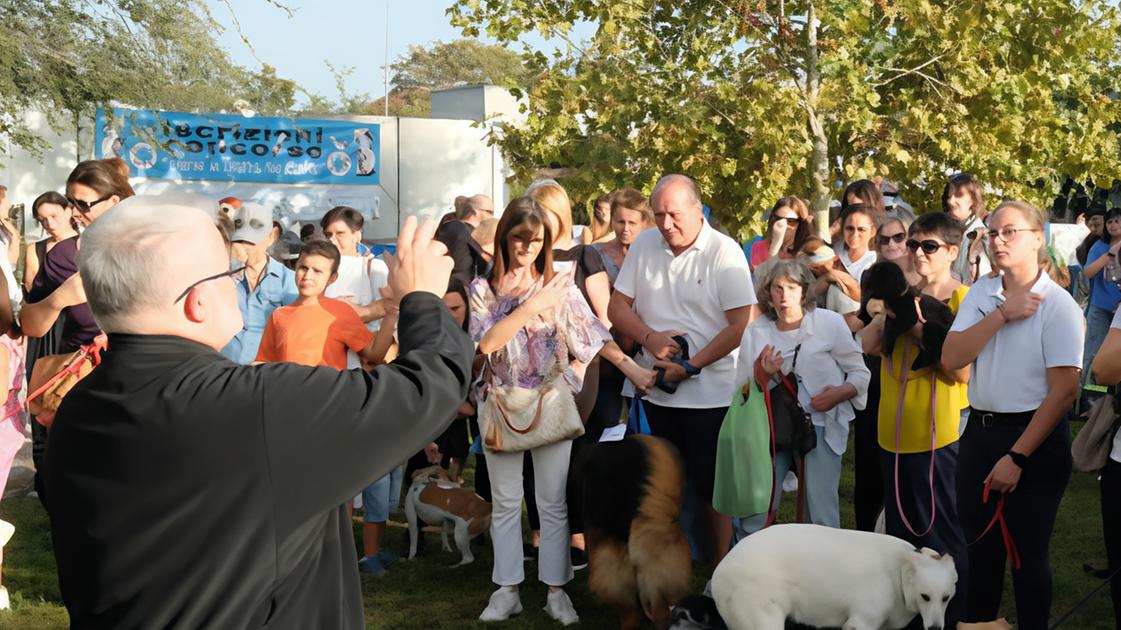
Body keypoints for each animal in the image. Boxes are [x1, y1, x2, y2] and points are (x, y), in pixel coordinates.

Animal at [712, 522, 959, 623]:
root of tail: (718, 573)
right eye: (925, 597)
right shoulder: (862, 619)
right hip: (761, 614)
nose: (936, 628)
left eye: (946, 598)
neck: (899, 571)